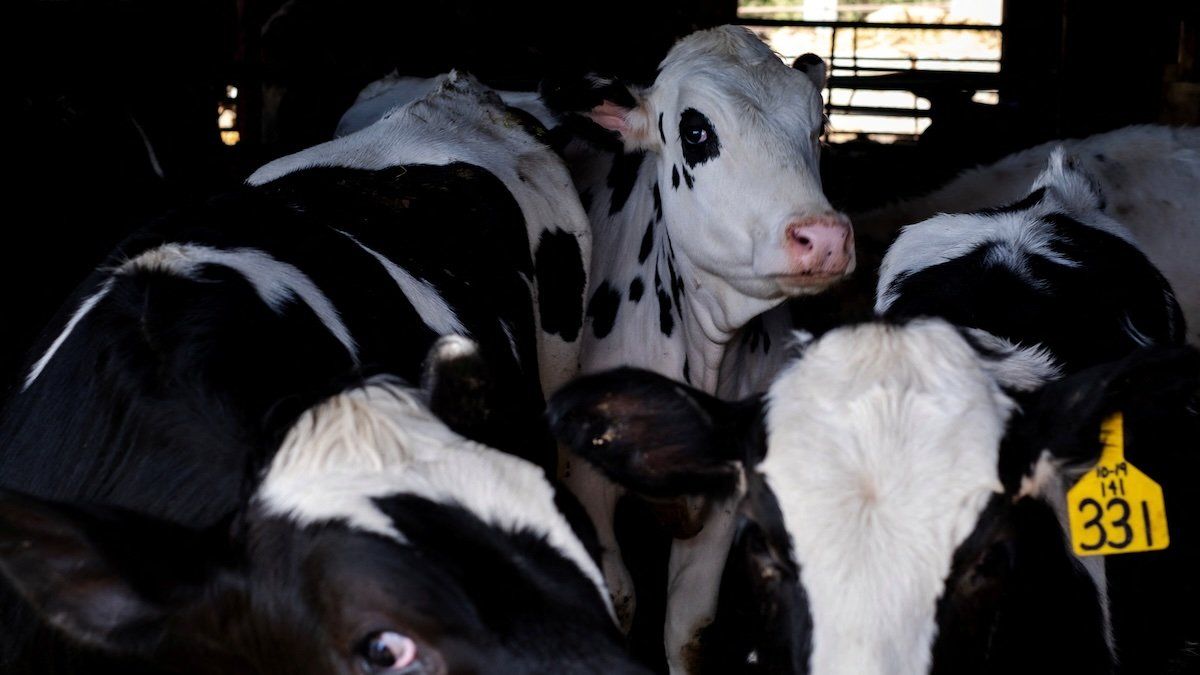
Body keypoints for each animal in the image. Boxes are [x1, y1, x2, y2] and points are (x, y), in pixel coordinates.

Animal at [540, 24, 859, 667]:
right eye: (695, 132)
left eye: (818, 128)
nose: (824, 237)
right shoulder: (584, 482)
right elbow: (620, 598)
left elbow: (689, 626)